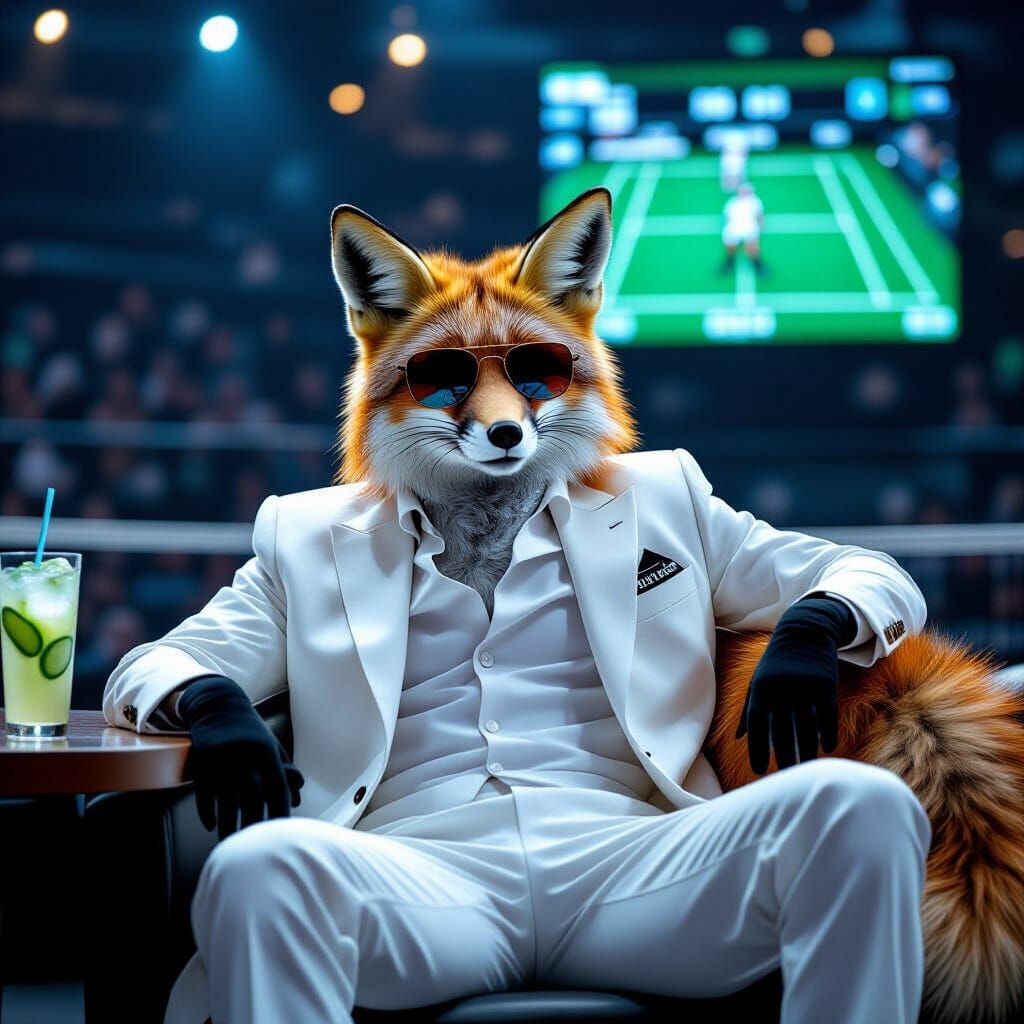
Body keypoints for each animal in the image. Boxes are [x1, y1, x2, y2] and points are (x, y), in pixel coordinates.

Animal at [327, 187, 1024, 1023]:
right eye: (446, 379)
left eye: (534, 372)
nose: (504, 433)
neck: (488, 536)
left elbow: (854, 566)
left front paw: (803, 647)